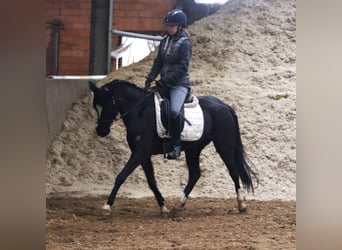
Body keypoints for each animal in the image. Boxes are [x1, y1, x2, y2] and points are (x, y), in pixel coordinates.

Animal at [89, 79, 258, 214]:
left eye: (108, 104)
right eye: (96, 106)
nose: (101, 131)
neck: (140, 112)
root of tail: (225, 106)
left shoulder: (140, 152)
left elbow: (121, 176)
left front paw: (106, 206)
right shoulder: (143, 155)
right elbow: (151, 181)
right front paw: (163, 206)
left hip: (224, 145)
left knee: (233, 170)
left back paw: (242, 204)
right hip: (193, 149)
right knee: (195, 174)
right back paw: (179, 204)